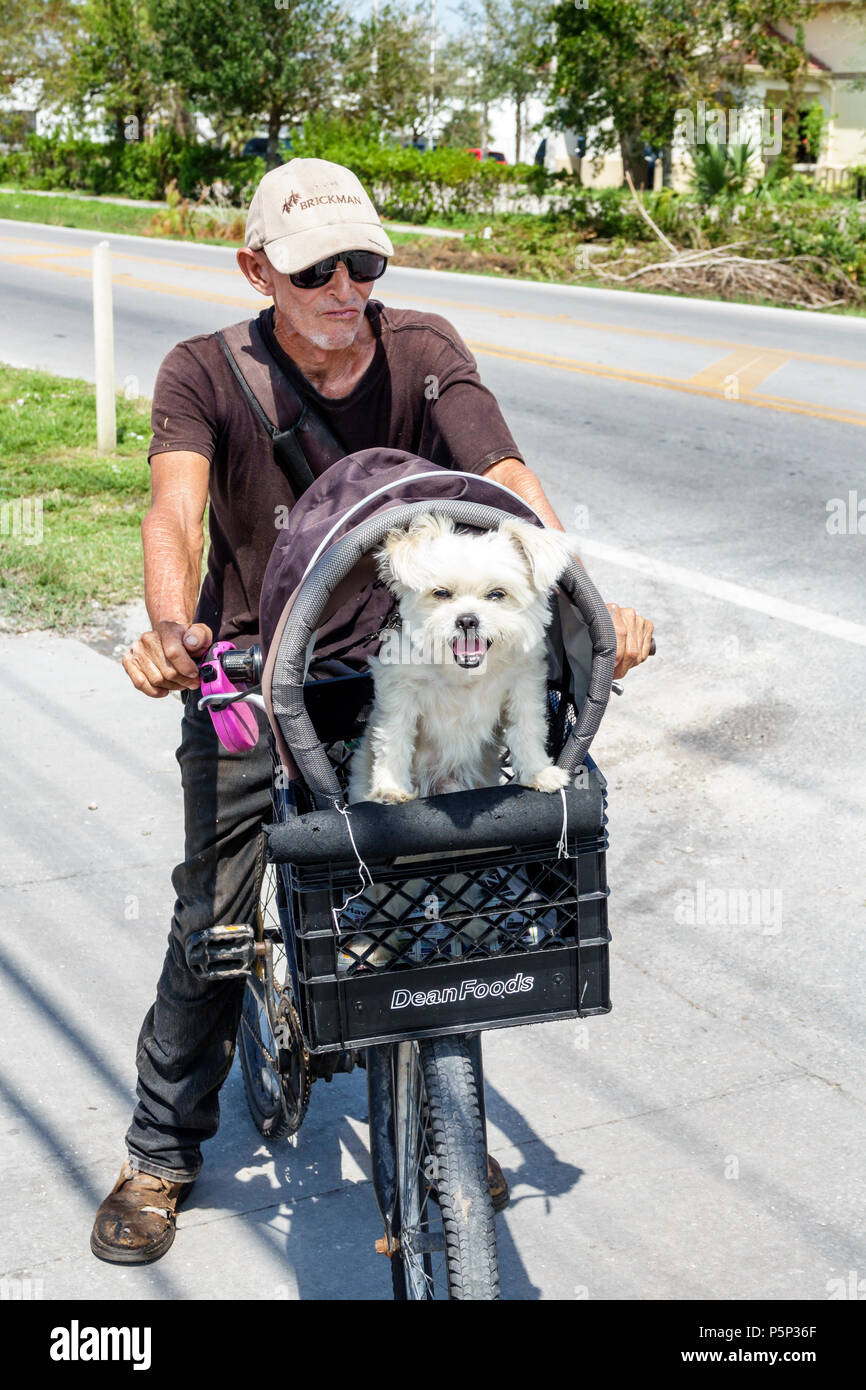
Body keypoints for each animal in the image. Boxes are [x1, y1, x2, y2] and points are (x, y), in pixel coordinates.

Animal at [346, 517, 575, 806]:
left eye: (497, 594)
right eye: (441, 593)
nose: (467, 620)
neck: (464, 675)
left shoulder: (523, 685)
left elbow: (527, 728)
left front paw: (538, 773)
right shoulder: (400, 692)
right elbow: (394, 737)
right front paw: (391, 787)